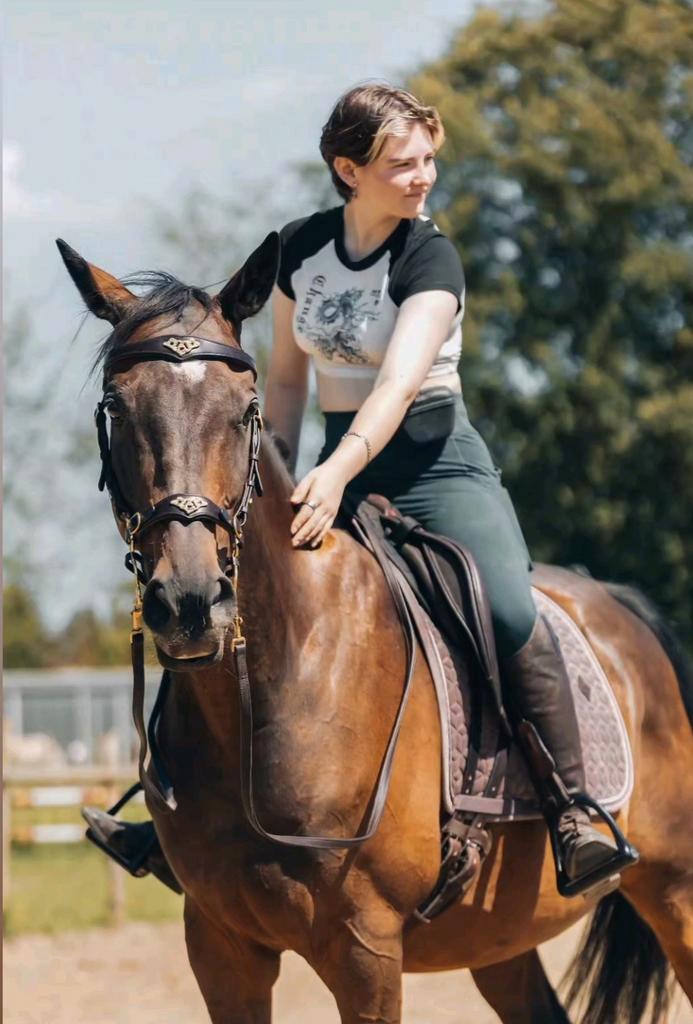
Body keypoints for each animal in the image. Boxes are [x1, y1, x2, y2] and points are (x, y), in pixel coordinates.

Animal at [58, 232, 693, 1024]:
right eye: (117, 408)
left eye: (244, 410)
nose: (191, 602)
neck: (274, 690)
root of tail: (623, 609)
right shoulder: (219, 945)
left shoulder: (364, 950)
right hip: (497, 939)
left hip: (675, 892)